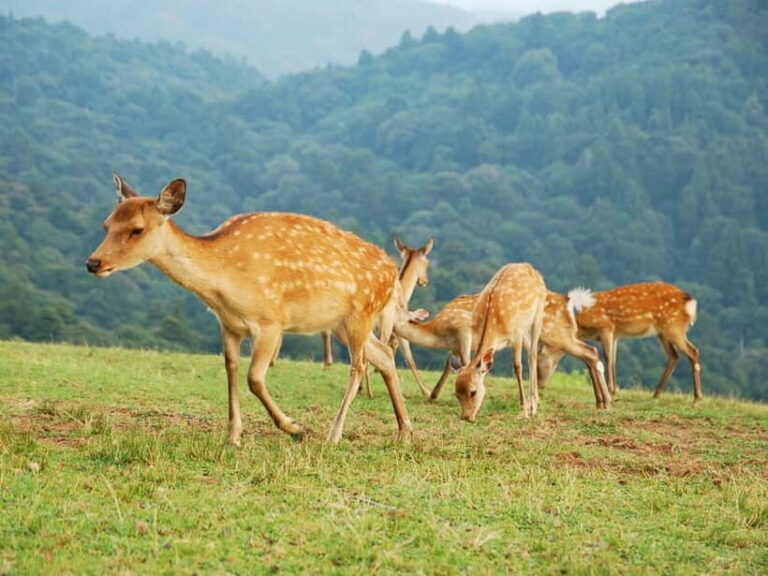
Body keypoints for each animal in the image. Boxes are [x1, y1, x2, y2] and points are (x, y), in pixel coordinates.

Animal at [86, 174, 413, 445]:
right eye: (106, 225)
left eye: (137, 229)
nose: (93, 262)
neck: (224, 286)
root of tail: (392, 274)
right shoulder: (228, 325)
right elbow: (231, 370)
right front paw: (233, 438)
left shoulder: (270, 322)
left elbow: (254, 379)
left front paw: (294, 428)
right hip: (341, 324)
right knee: (384, 353)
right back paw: (405, 430)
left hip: (362, 312)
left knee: (359, 366)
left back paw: (334, 435)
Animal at [397, 290, 611, 409]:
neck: (439, 333)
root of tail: (568, 302)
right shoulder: (456, 346)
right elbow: (451, 364)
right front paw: (433, 395)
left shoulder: (463, 332)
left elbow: (464, 363)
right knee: (589, 354)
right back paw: (601, 402)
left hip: (556, 333)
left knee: (590, 353)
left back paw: (605, 401)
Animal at [452, 263, 547, 422]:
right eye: (456, 394)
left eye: (473, 392)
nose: (466, 417)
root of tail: (529, 266)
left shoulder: (516, 334)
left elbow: (517, 367)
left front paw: (524, 411)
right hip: (525, 327)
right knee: (531, 350)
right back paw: (536, 401)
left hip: (538, 313)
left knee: (533, 354)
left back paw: (533, 407)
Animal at [541, 282, 702, 401]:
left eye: (540, 364)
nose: (541, 385)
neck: (583, 328)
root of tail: (690, 302)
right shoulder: (616, 335)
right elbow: (614, 359)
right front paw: (614, 390)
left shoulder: (606, 328)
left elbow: (607, 358)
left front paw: (611, 389)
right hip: (663, 331)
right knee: (674, 356)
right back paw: (657, 393)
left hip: (673, 327)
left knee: (693, 351)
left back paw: (697, 397)